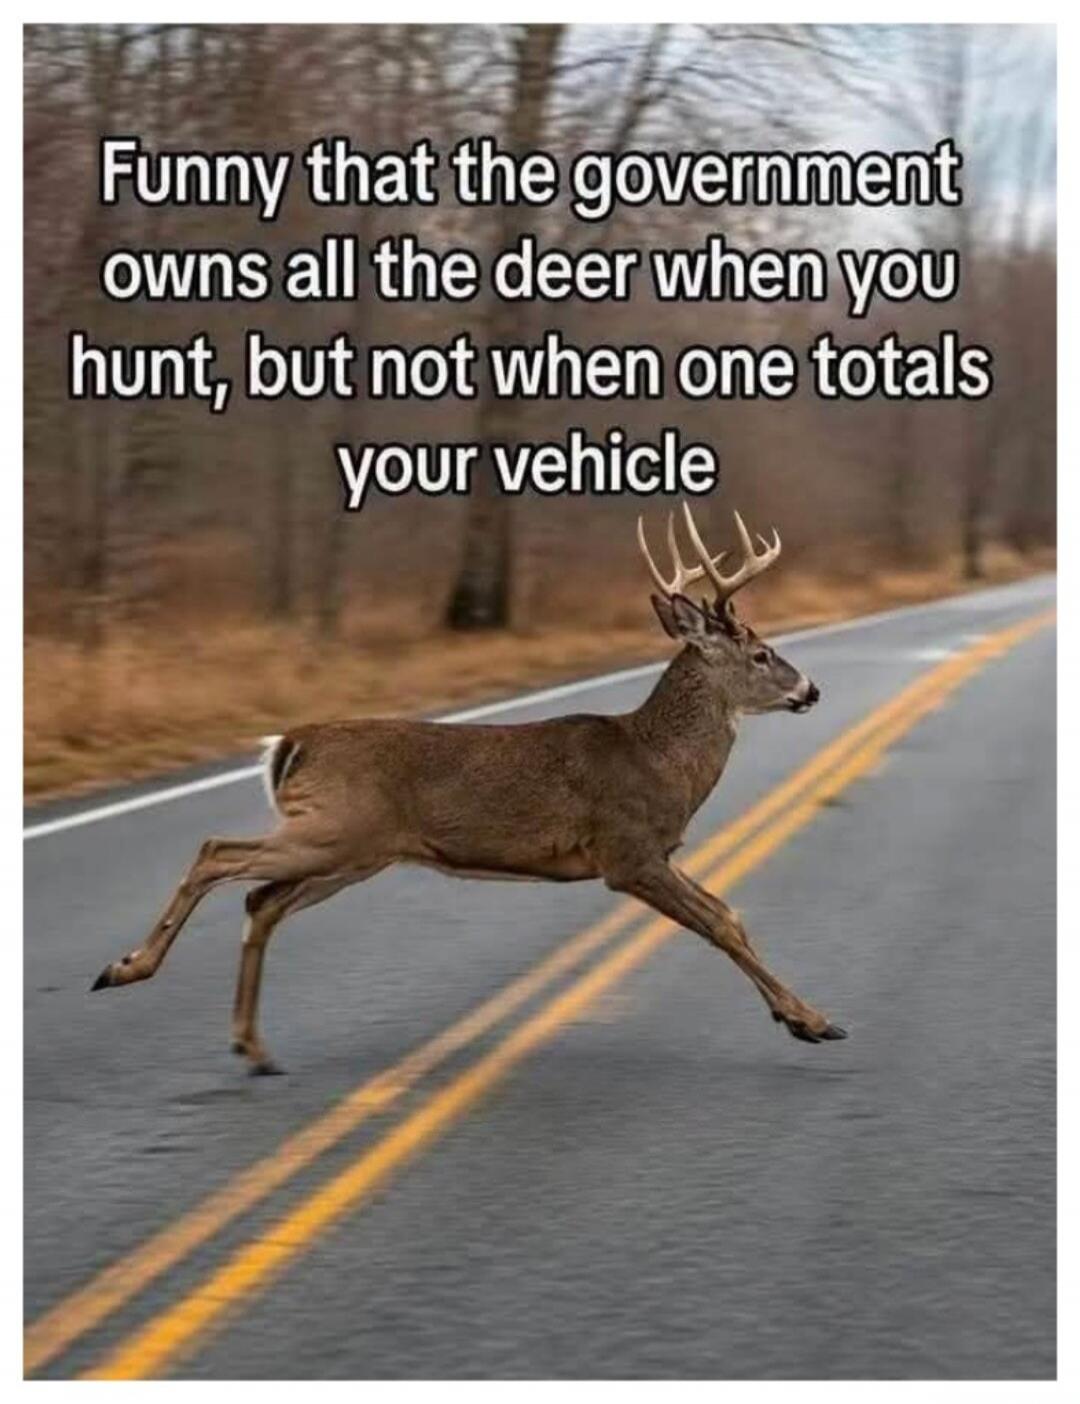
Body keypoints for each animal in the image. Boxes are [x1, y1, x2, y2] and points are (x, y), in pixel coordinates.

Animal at [91, 503, 847, 1073]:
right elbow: (718, 922)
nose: (811, 689)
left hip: (352, 853)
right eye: (762, 654)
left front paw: (804, 1018)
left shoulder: (652, 853)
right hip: (332, 830)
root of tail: (288, 744)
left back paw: (252, 1047)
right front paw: (811, 1019)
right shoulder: (625, 851)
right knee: (217, 851)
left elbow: (728, 914)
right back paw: (124, 969)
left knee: (261, 899)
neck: (658, 760)